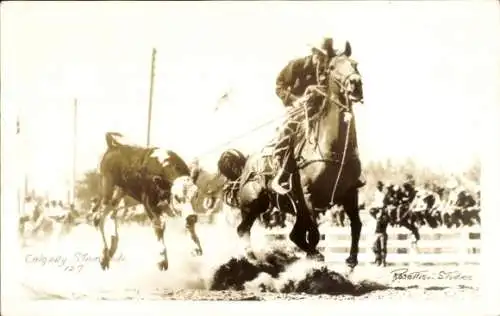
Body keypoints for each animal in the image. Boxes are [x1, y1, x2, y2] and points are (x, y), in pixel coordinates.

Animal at [92, 132, 201, 270]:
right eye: (176, 197)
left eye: (196, 195)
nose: (193, 216)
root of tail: (114, 145)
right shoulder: (148, 203)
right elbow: (159, 227)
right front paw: (162, 260)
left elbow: (187, 225)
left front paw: (196, 247)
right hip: (107, 188)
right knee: (98, 217)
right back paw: (104, 256)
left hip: (120, 194)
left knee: (111, 215)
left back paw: (111, 249)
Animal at [217, 41, 366, 274]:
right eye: (332, 67)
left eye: (355, 63)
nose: (355, 84)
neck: (331, 148)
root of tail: (245, 164)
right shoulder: (308, 196)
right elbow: (314, 233)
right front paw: (317, 260)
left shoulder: (350, 193)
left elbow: (356, 226)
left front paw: (350, 261)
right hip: (253, 205)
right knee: (243, 229)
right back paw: (254, 260)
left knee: (293, 235)